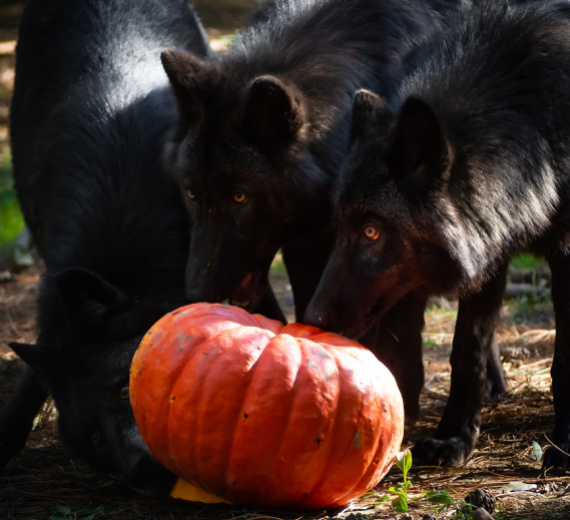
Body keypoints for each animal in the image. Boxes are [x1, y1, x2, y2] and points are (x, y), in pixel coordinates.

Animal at [306, 0, 570, 470]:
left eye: (371, 231)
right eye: (341, 227)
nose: (311, 318)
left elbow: (565, 361)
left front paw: (566, 446)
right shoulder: (491, 253)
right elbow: (468, 349)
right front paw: (454, 438)